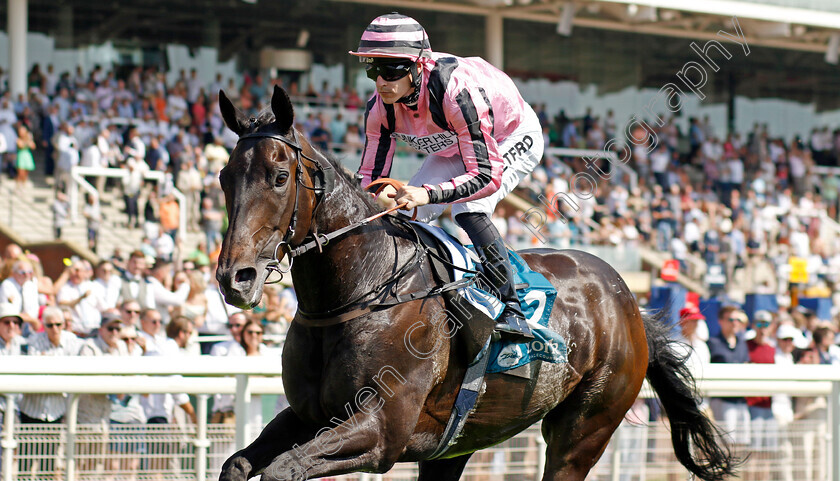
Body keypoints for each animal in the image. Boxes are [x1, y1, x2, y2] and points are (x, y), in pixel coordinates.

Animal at [215, 86, 736, 480]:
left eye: (279, 176)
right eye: (223, 176)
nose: (234, 277)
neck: (359, 292)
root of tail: (627, 299)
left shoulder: (381, 429)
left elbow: (284, 469)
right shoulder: (308, 416)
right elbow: (237, 464)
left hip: (584, 429)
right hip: (455, 446)